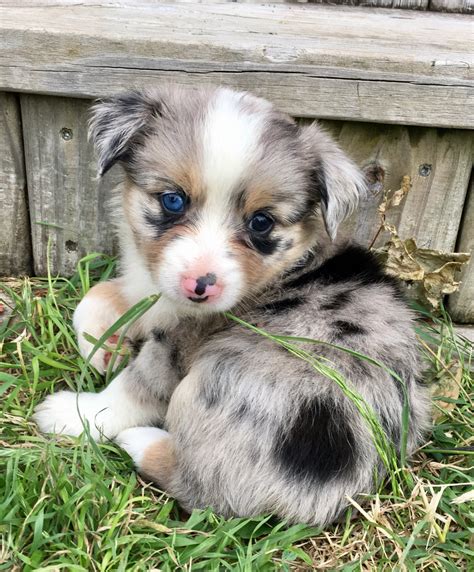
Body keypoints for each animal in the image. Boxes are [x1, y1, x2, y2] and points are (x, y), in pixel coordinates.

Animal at [35, 86, 432, 528]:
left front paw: (74, 414)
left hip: (220, 381)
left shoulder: (177, 348)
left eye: (261, 222)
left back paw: (140, 441)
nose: (200, 286)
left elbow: (133, 390)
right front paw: (102, 349)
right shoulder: (150, 289)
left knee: (201, 484)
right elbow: (94, 298)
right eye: (173, 200)